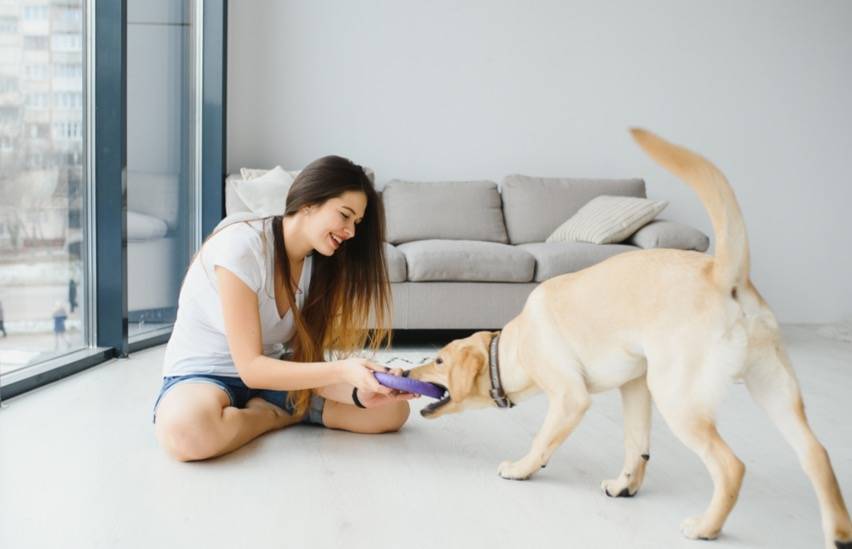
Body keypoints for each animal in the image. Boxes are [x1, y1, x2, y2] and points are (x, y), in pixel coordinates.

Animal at [406, 130, 852, 548]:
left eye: (440, 360)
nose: (409, 371)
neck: (513, 347)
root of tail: (723, 274)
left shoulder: (570, 397)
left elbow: (543, 439)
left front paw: (520, 468)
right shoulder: (636, 387)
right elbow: (636, 444)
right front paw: (625, 485)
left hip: (679, 397)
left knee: (731, 466)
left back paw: (706, 527)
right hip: (772, 388)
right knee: (816, 453)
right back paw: (837, 532)